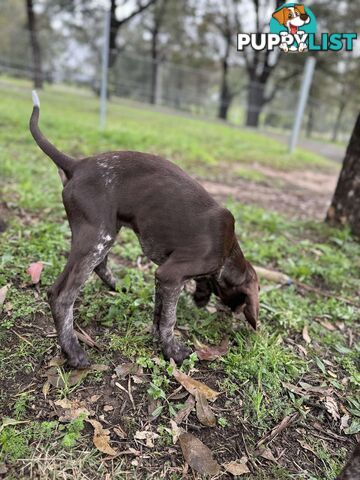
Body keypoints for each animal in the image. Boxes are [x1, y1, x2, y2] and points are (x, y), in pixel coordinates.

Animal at [28, 91, 258, 368]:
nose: (231, 316)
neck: (228, 249)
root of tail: (78, 164)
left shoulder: (163, 277)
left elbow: (159, 314)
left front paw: (158, 339)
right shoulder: (172, 274)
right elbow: (169, 319)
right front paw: (173, 351)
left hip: (104, 231)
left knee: (101, 266)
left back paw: (118, 288)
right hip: (98, 236)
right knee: (61, 296)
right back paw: (73, 351)